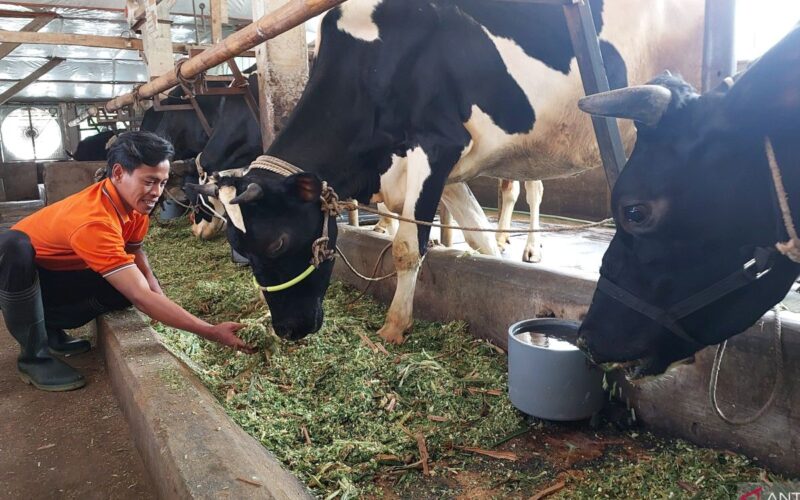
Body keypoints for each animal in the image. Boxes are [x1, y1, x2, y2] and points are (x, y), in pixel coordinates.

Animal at [192, 0, 700, 344]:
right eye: (239, 250)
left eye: (277, 242)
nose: (288, 330)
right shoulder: (442, 167)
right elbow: (473, 234)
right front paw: (491, 255)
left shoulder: (437, 143)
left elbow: (406, 247)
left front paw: (395, 325)